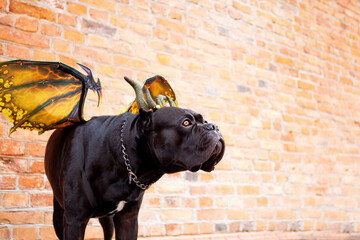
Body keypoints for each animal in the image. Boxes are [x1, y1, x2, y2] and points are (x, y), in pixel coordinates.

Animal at [44, 107, 225, 240]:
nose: (214, 126)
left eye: (205, 121)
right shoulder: (75, 219)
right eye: (186, 123)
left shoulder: (128, 218)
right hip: (59, 216)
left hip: (107, 219)